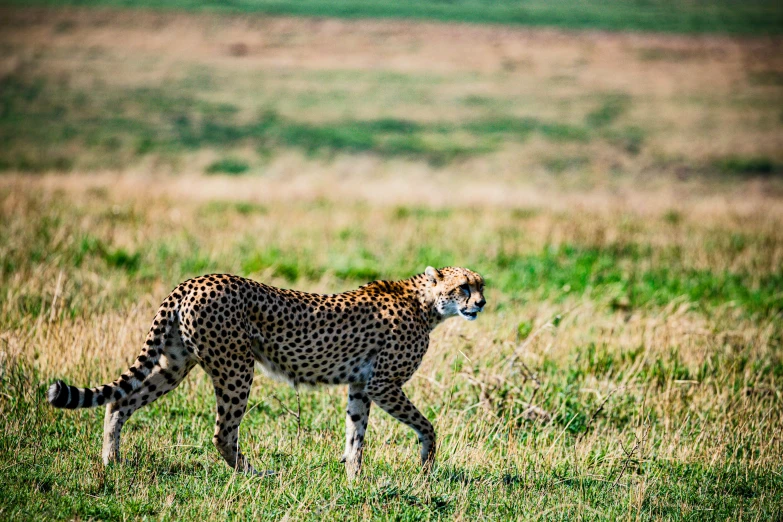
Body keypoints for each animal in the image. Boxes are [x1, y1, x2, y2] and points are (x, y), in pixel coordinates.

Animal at [47, 266, 484, 478]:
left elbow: (355, 434)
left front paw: (353, 478)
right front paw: (425, 466)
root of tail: (194, 280)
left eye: (481, 285)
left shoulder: (361, 385)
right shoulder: (383, 384)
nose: (481, 303)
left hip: (175, 363)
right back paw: (257, 474)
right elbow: (426, 425)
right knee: (223, 432)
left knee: (119, 402)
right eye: (463, 286)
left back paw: (112, 462)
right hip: (235, 367)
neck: (426, 303)